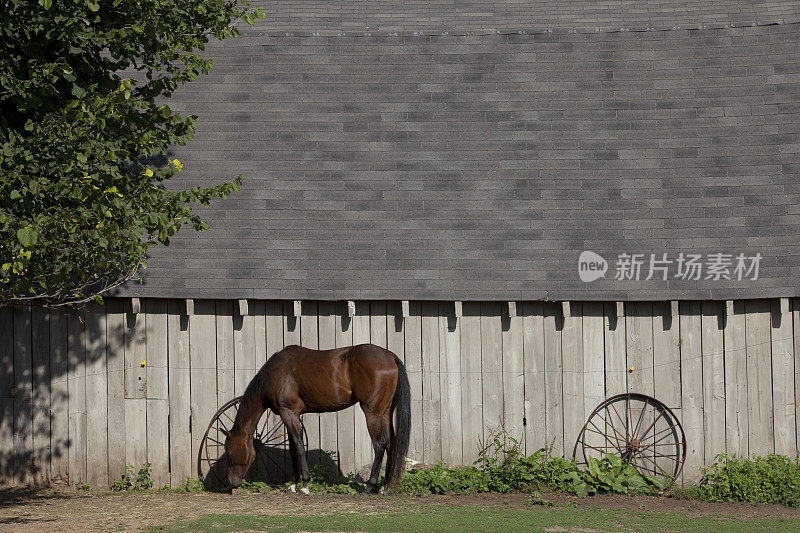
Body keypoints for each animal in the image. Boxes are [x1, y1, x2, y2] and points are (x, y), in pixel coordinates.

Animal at [225, 342, 412, 492]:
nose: (232, 483)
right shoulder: (291, 415)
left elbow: (299, 447)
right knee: (391, 445)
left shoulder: (289, 413)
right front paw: (293, 484)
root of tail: (391, 357)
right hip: (385, 414)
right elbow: (293, 449)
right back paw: (384, 487)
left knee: (380, 445)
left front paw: (305, 485)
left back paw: (369, 487)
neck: (275, 373)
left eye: (228, 453)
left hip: (372, 413)